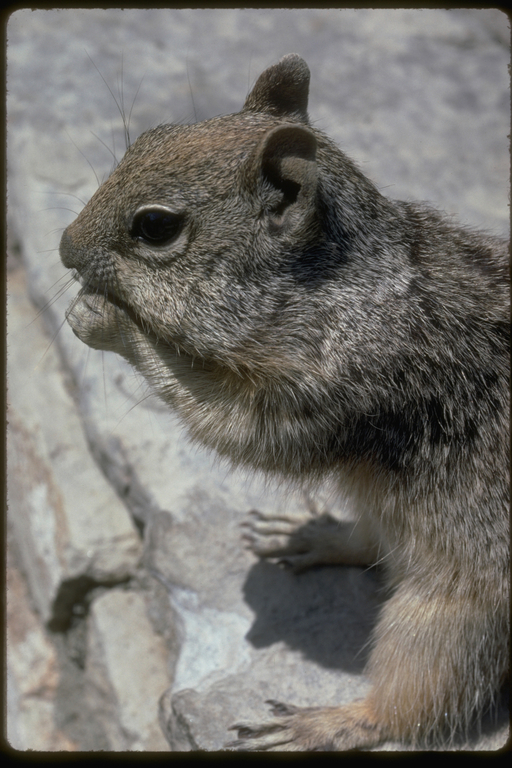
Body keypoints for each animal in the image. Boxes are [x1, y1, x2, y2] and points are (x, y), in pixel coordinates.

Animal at [59, 57, 508, 752]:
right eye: (150, 136)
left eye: (156, 226)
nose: (62, 246)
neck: (336, 280)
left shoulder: (336, 387)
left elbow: (238, 428)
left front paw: (105, 321)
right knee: (375, 540)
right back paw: (312, 533)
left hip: (450, 613)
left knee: (413, 700)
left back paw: (323, 722)